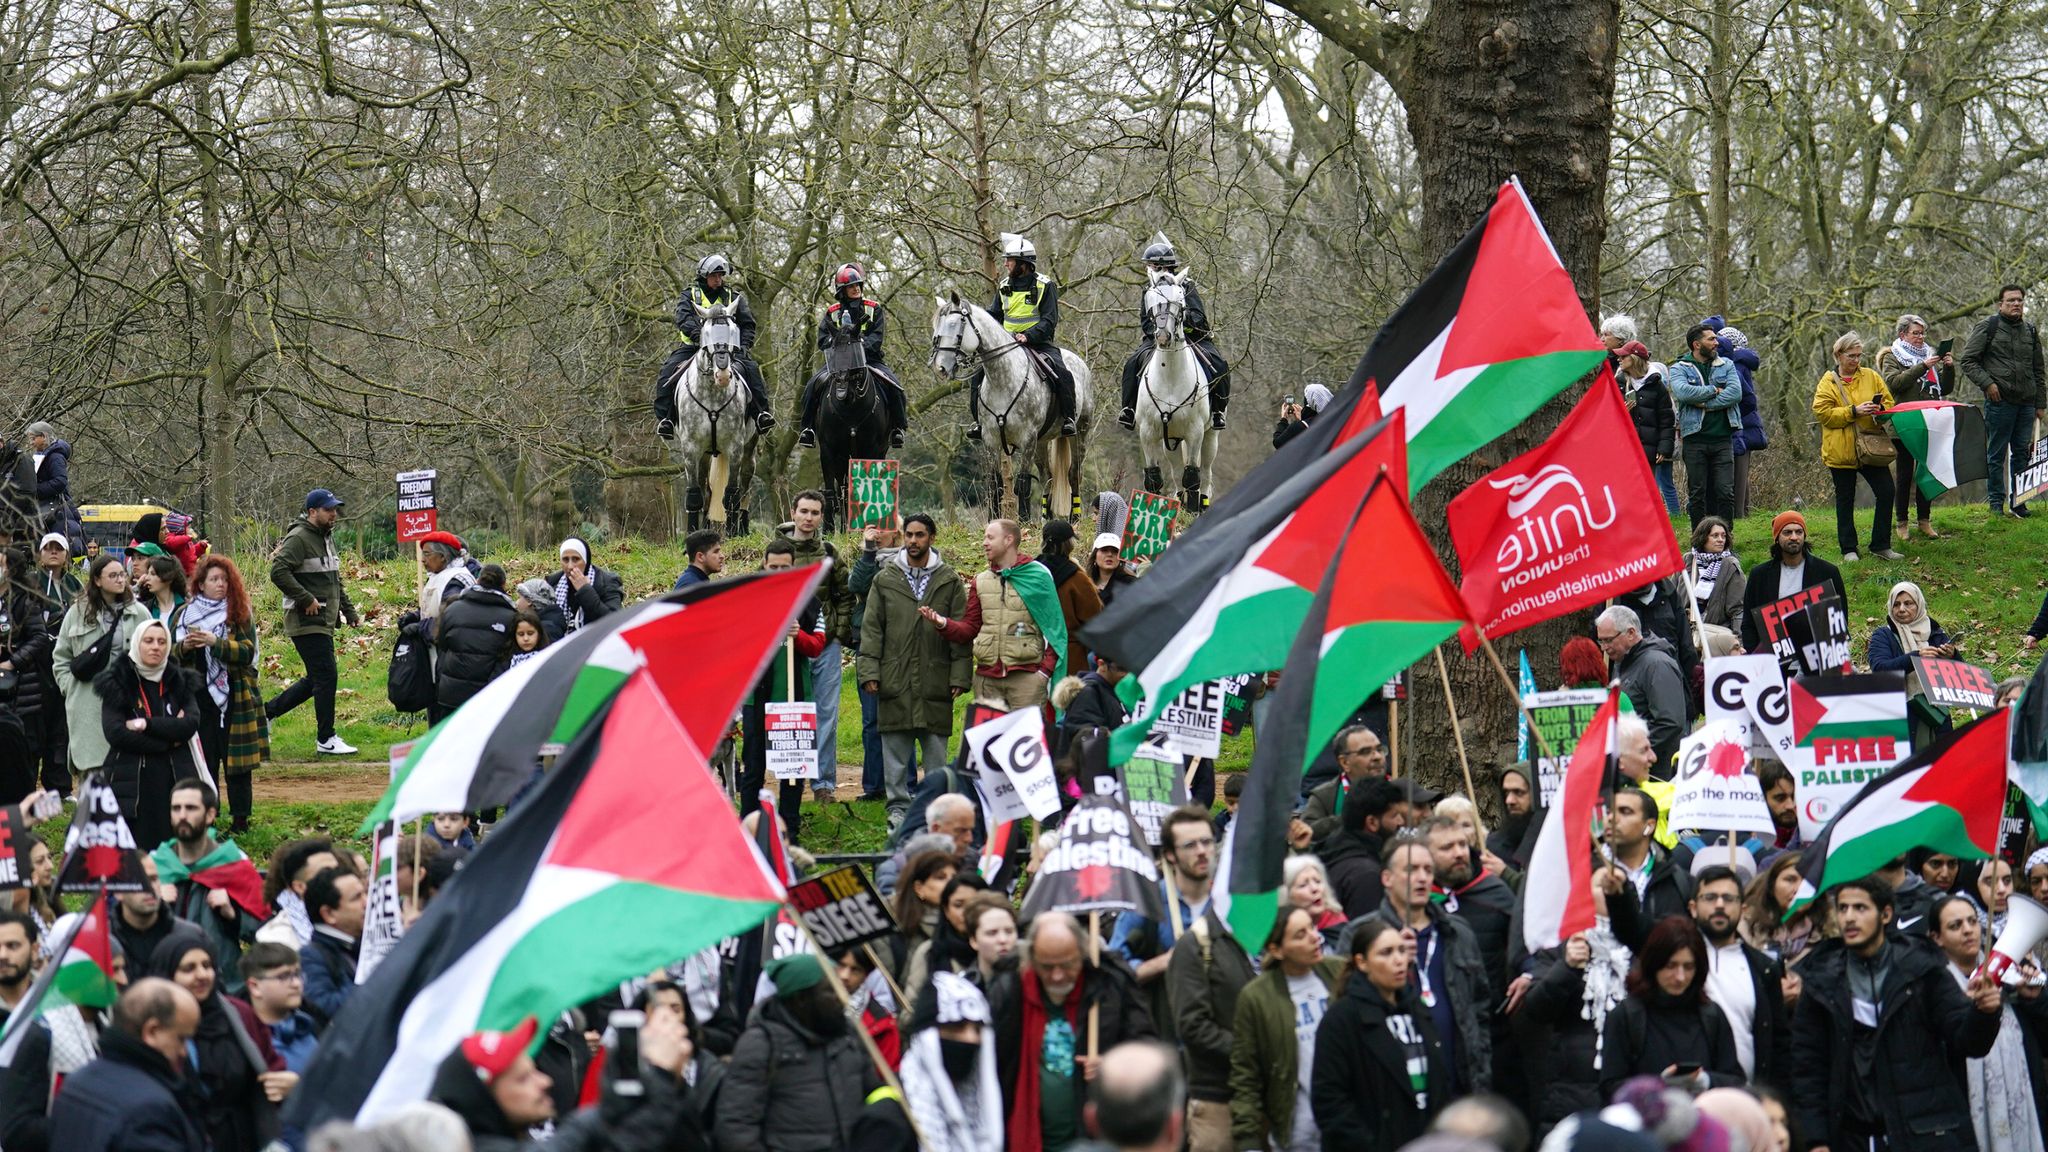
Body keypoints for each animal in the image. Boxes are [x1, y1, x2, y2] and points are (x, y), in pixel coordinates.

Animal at [663, 307, 761, 537]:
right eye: (706, 333)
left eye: (733, 331)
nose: (723, 374)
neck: (713, 394)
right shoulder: (690, 448)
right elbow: (694, 494)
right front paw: (692, 533)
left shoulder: (735, 447)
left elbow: (732, 494)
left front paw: (733, 534)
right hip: (705, 454)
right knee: (705, 490)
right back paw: (706, 528)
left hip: (749, 449)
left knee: (745, 488)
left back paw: (742, 529)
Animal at [819, 330, 892, 532]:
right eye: (832, 349)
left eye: (855, 352)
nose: (841, 392)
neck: (850, 409)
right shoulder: (828, 450)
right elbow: (831, 490)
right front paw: (828, 530)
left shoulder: (871, 449)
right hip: (843, 459)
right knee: (843, 489)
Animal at [929, 286, 1089, 520]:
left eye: (954, 324)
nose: (939, 367)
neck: (1002, 379)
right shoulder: (991, 440)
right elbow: (995, 484)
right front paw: (993, 520)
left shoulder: (1028, 439)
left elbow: (1022, 483)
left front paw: (1023, 521)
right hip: (1043, 442)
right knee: (1047, 476)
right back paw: (1046, 518)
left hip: (1079, 433)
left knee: (1074, 474)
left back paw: (1074, 519)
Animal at [1138, 268, 1212, 506]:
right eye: (1150, 300)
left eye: (1180, 301)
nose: (1162, 335)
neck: (1169, 374)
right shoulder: (1148, 432)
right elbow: (1153, 477)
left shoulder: (1196, 432)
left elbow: (1192, 476)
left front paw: (1193, 509)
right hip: (1171, 437)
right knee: (1176, 469)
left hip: (1210, 436)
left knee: (1205, 472)